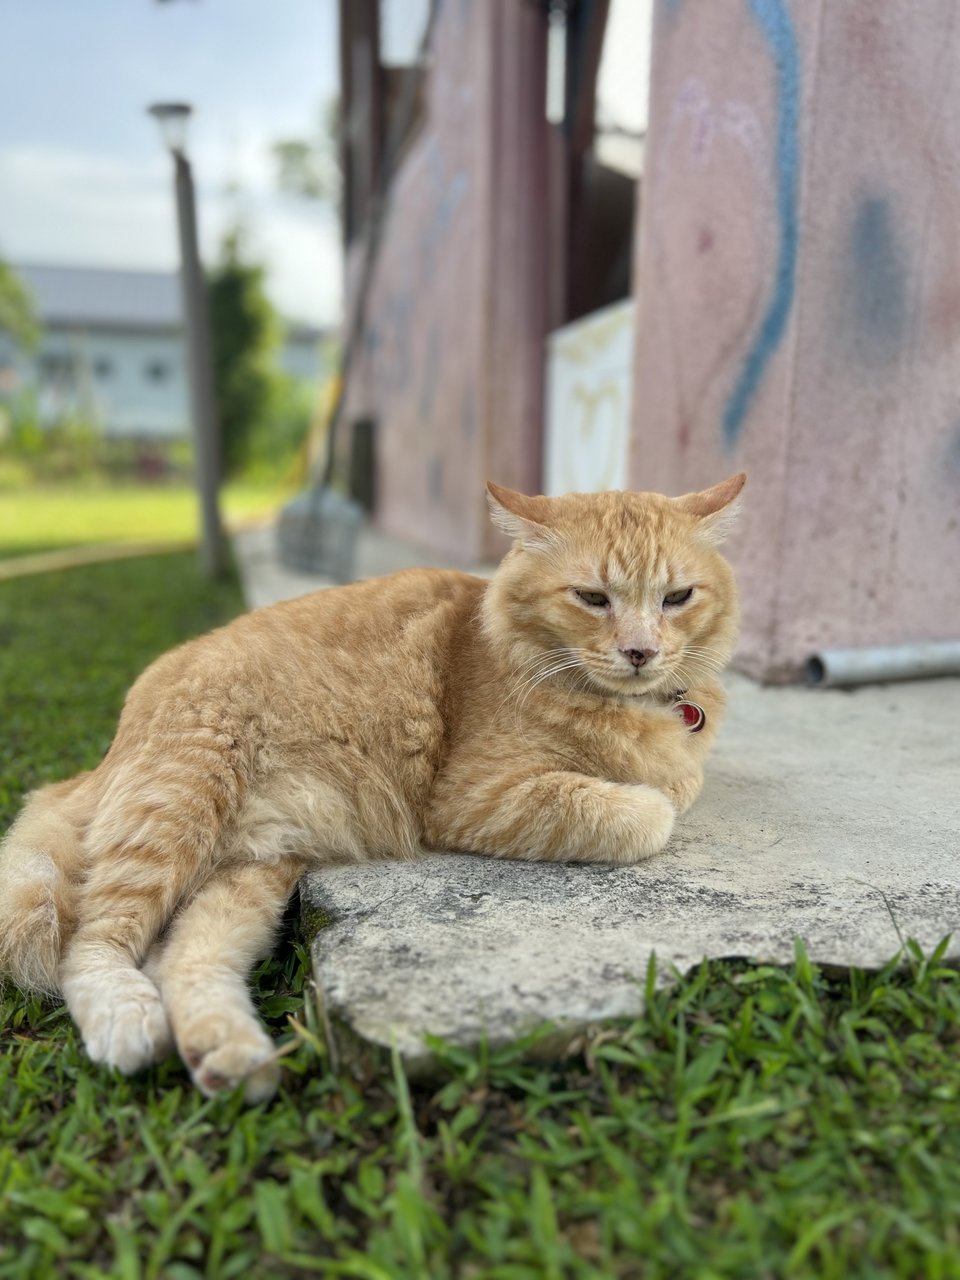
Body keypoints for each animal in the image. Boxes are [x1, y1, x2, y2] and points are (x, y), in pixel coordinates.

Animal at [0, 476, 742, 1095]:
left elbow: (679, 783)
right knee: (89, 945)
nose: (641, 652)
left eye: (678, 597)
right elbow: (647, 812)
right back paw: (132, 1024)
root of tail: (107, 752)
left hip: (252, 868)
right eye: (592, 598)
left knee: (180, 956)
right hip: (177, 811)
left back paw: (230, 1059)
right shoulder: (476, 796)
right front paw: (650, 793)